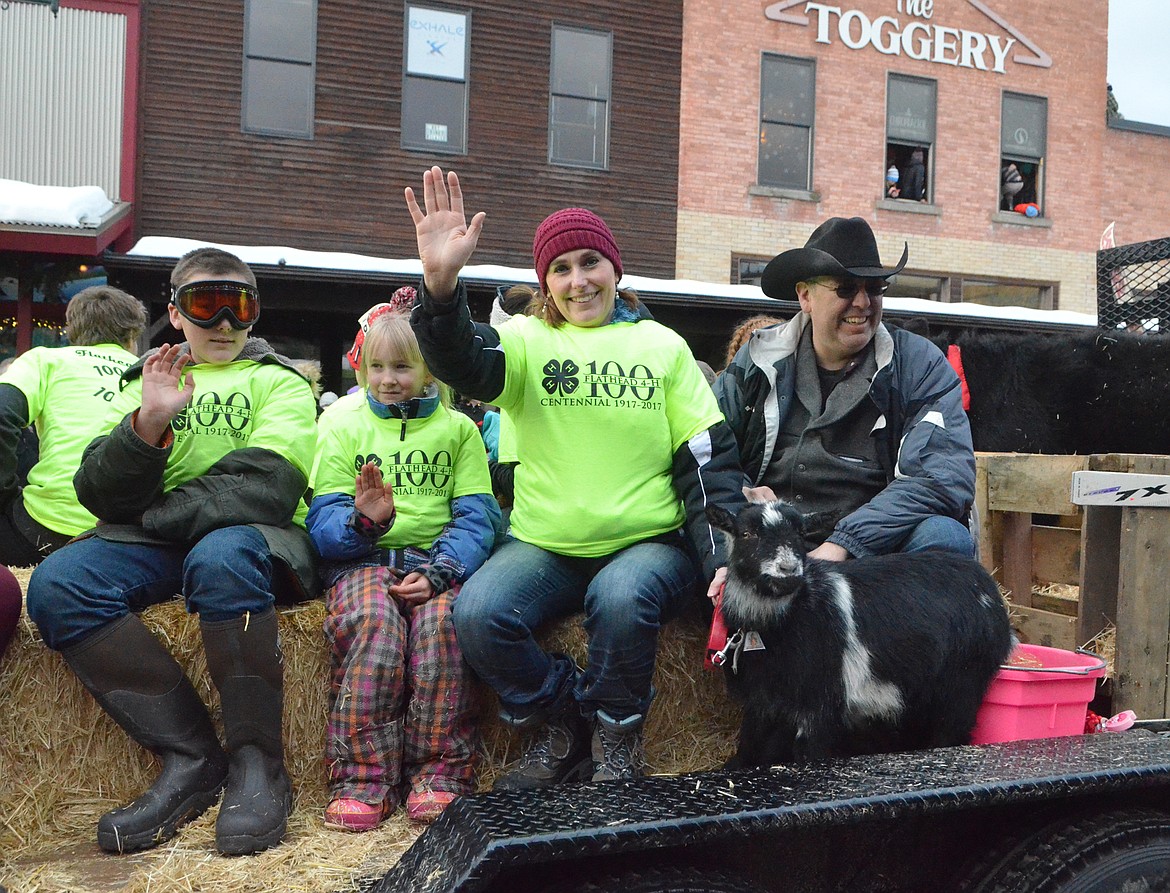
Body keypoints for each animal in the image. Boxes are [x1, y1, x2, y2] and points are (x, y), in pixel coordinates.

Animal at [702, 503, 1015, 767]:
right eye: (747, 533)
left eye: (801, 534)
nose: (788, 570)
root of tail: (989, 587)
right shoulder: (763, 701)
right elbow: (751, 747)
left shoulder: (821, 701)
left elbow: (809, 752)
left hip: (964, 680)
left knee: (952, 730)